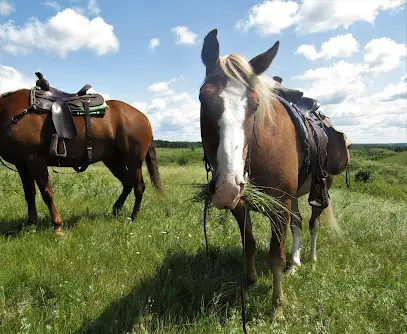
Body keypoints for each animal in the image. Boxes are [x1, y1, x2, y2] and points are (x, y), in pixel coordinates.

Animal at [0, 88, 163, 235]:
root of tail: (143, 117)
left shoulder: (35, 161)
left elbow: (47, 194)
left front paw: (57, 226)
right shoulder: (22, 165)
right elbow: (29, 195)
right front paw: (30, 225)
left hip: (133, 161)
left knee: (139, 187)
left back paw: (133, 217)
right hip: (113, 161)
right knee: (128, 183)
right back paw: (116, 209)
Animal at [199, 28, 350, 318]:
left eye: (255, 104)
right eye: (202, 97)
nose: (227, 187)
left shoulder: (279, 206)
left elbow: (275, 256)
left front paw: (277, 306)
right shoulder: (241, 206)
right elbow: (249, 243)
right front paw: (251, 279)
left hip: (318, 190)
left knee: (313, 223)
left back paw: (310, 258)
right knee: (298, 223)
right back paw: (296, 262)